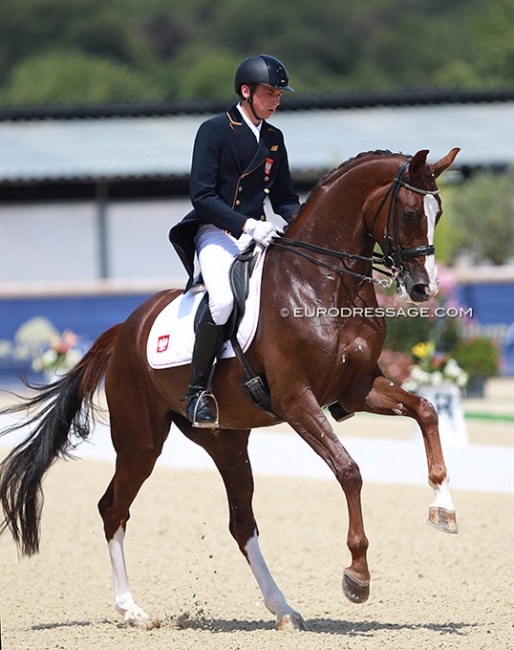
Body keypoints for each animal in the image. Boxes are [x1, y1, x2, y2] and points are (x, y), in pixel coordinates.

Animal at [0, 147, 456, 628]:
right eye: (409, 213)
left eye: (438, 213)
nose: (423, 287)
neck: (323, 283)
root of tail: (126, 328)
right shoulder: (296, 400)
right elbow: (349, 470)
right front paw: (357, 576)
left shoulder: (358, 389)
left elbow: (426, 410)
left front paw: (443, 509)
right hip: (140, 442)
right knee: (113, 508)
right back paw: (131, 609)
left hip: (227, 443)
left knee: (241, 523)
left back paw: (283, 609)